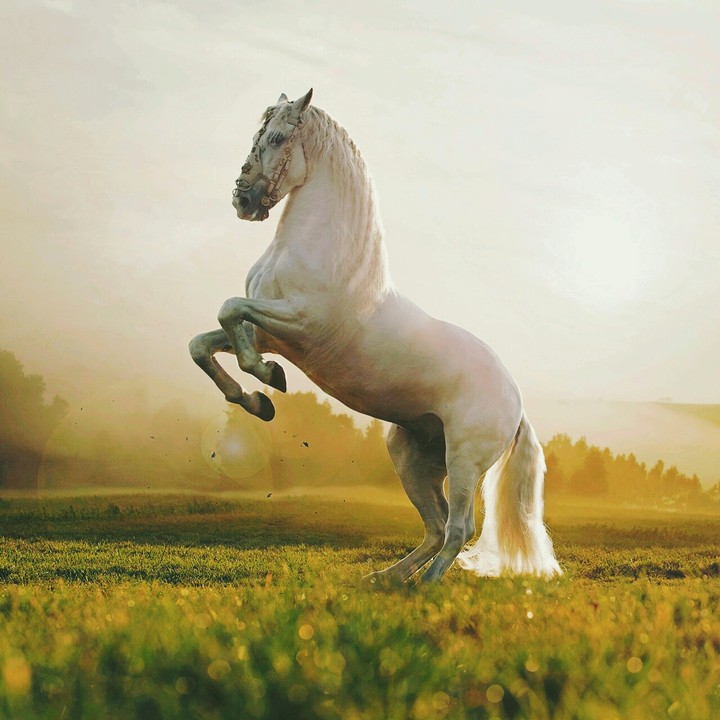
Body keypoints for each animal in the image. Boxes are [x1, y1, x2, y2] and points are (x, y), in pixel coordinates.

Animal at [189, 89, 561, 583]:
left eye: (279, 137)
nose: (243, 199)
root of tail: (515, 403)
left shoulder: (299, 324)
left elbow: (230, 311)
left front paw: (268, 380)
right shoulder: (268, 332)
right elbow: (204, 343)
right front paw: (257, 400)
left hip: (464, 460)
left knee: (458, 528)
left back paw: (423, 587)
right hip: (411, 456)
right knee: (436, 526)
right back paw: (385, 579)